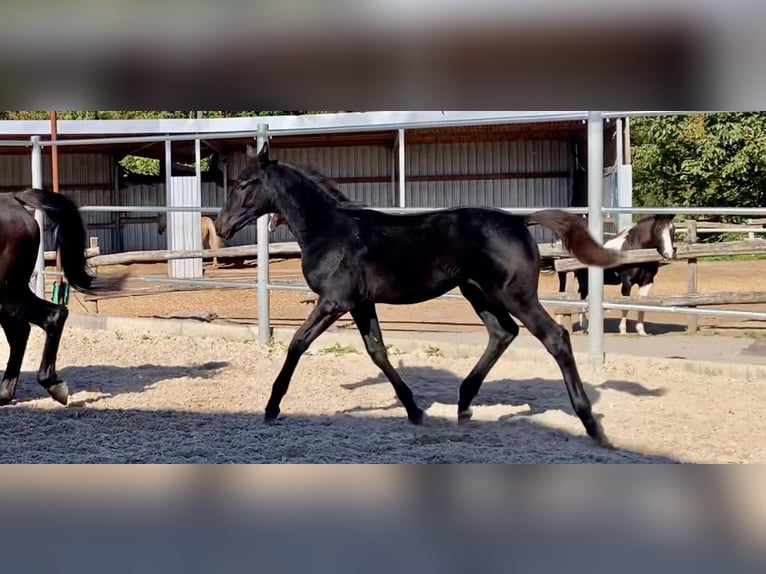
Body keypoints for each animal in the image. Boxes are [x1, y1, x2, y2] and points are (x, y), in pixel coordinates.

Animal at [216, 143, 624, 447]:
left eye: (243, 184)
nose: (220, 226)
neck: (329, 228)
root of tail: (518, 219)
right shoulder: (361, 303)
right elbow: (377, 352)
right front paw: (414, 410)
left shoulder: (334, 301)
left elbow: (297, 343)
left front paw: (271, 406)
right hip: (478, 293)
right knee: (502, 333)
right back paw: (464, 404)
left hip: (514, 295)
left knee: (555, 337)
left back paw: (592, 426)